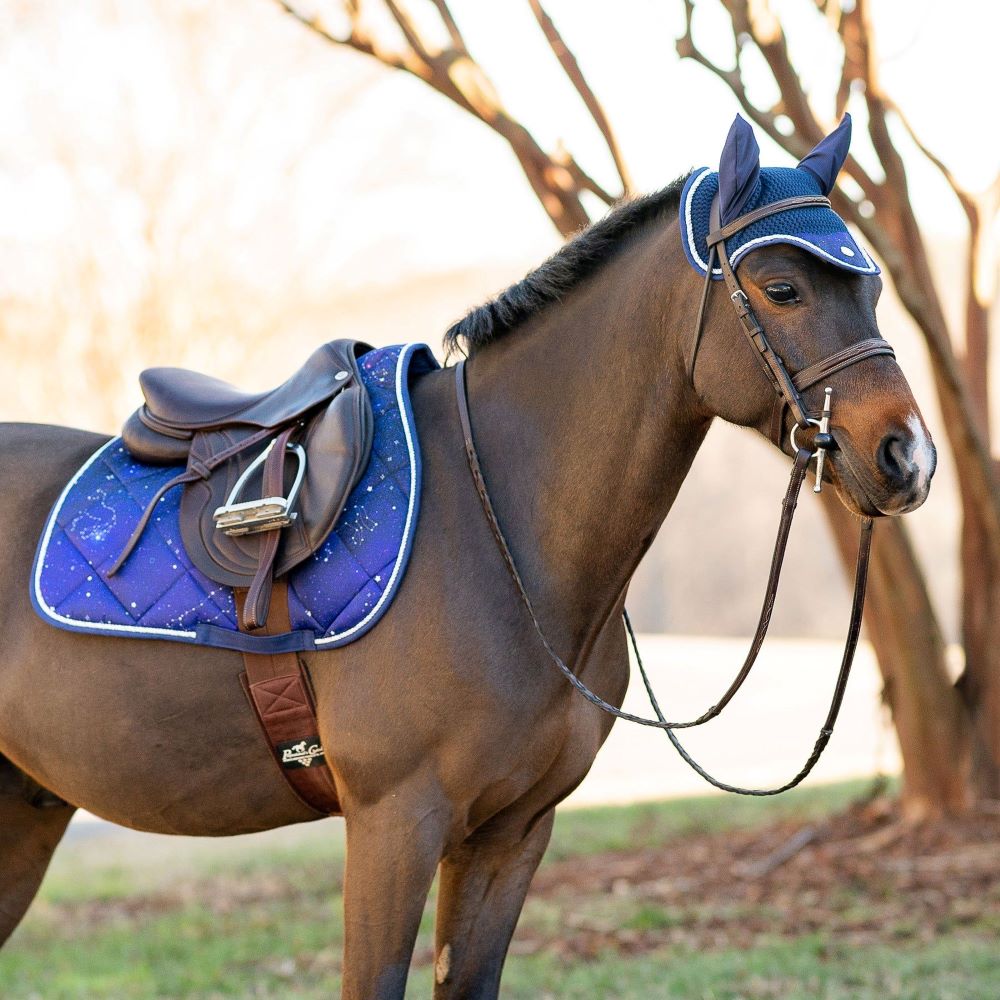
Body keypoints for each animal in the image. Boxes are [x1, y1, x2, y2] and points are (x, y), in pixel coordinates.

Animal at [1, 121, 936, 996]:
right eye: (781, 288)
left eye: (873, 289)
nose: (909, 458)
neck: (501, 532)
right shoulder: (394, 825)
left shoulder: (512, 832)